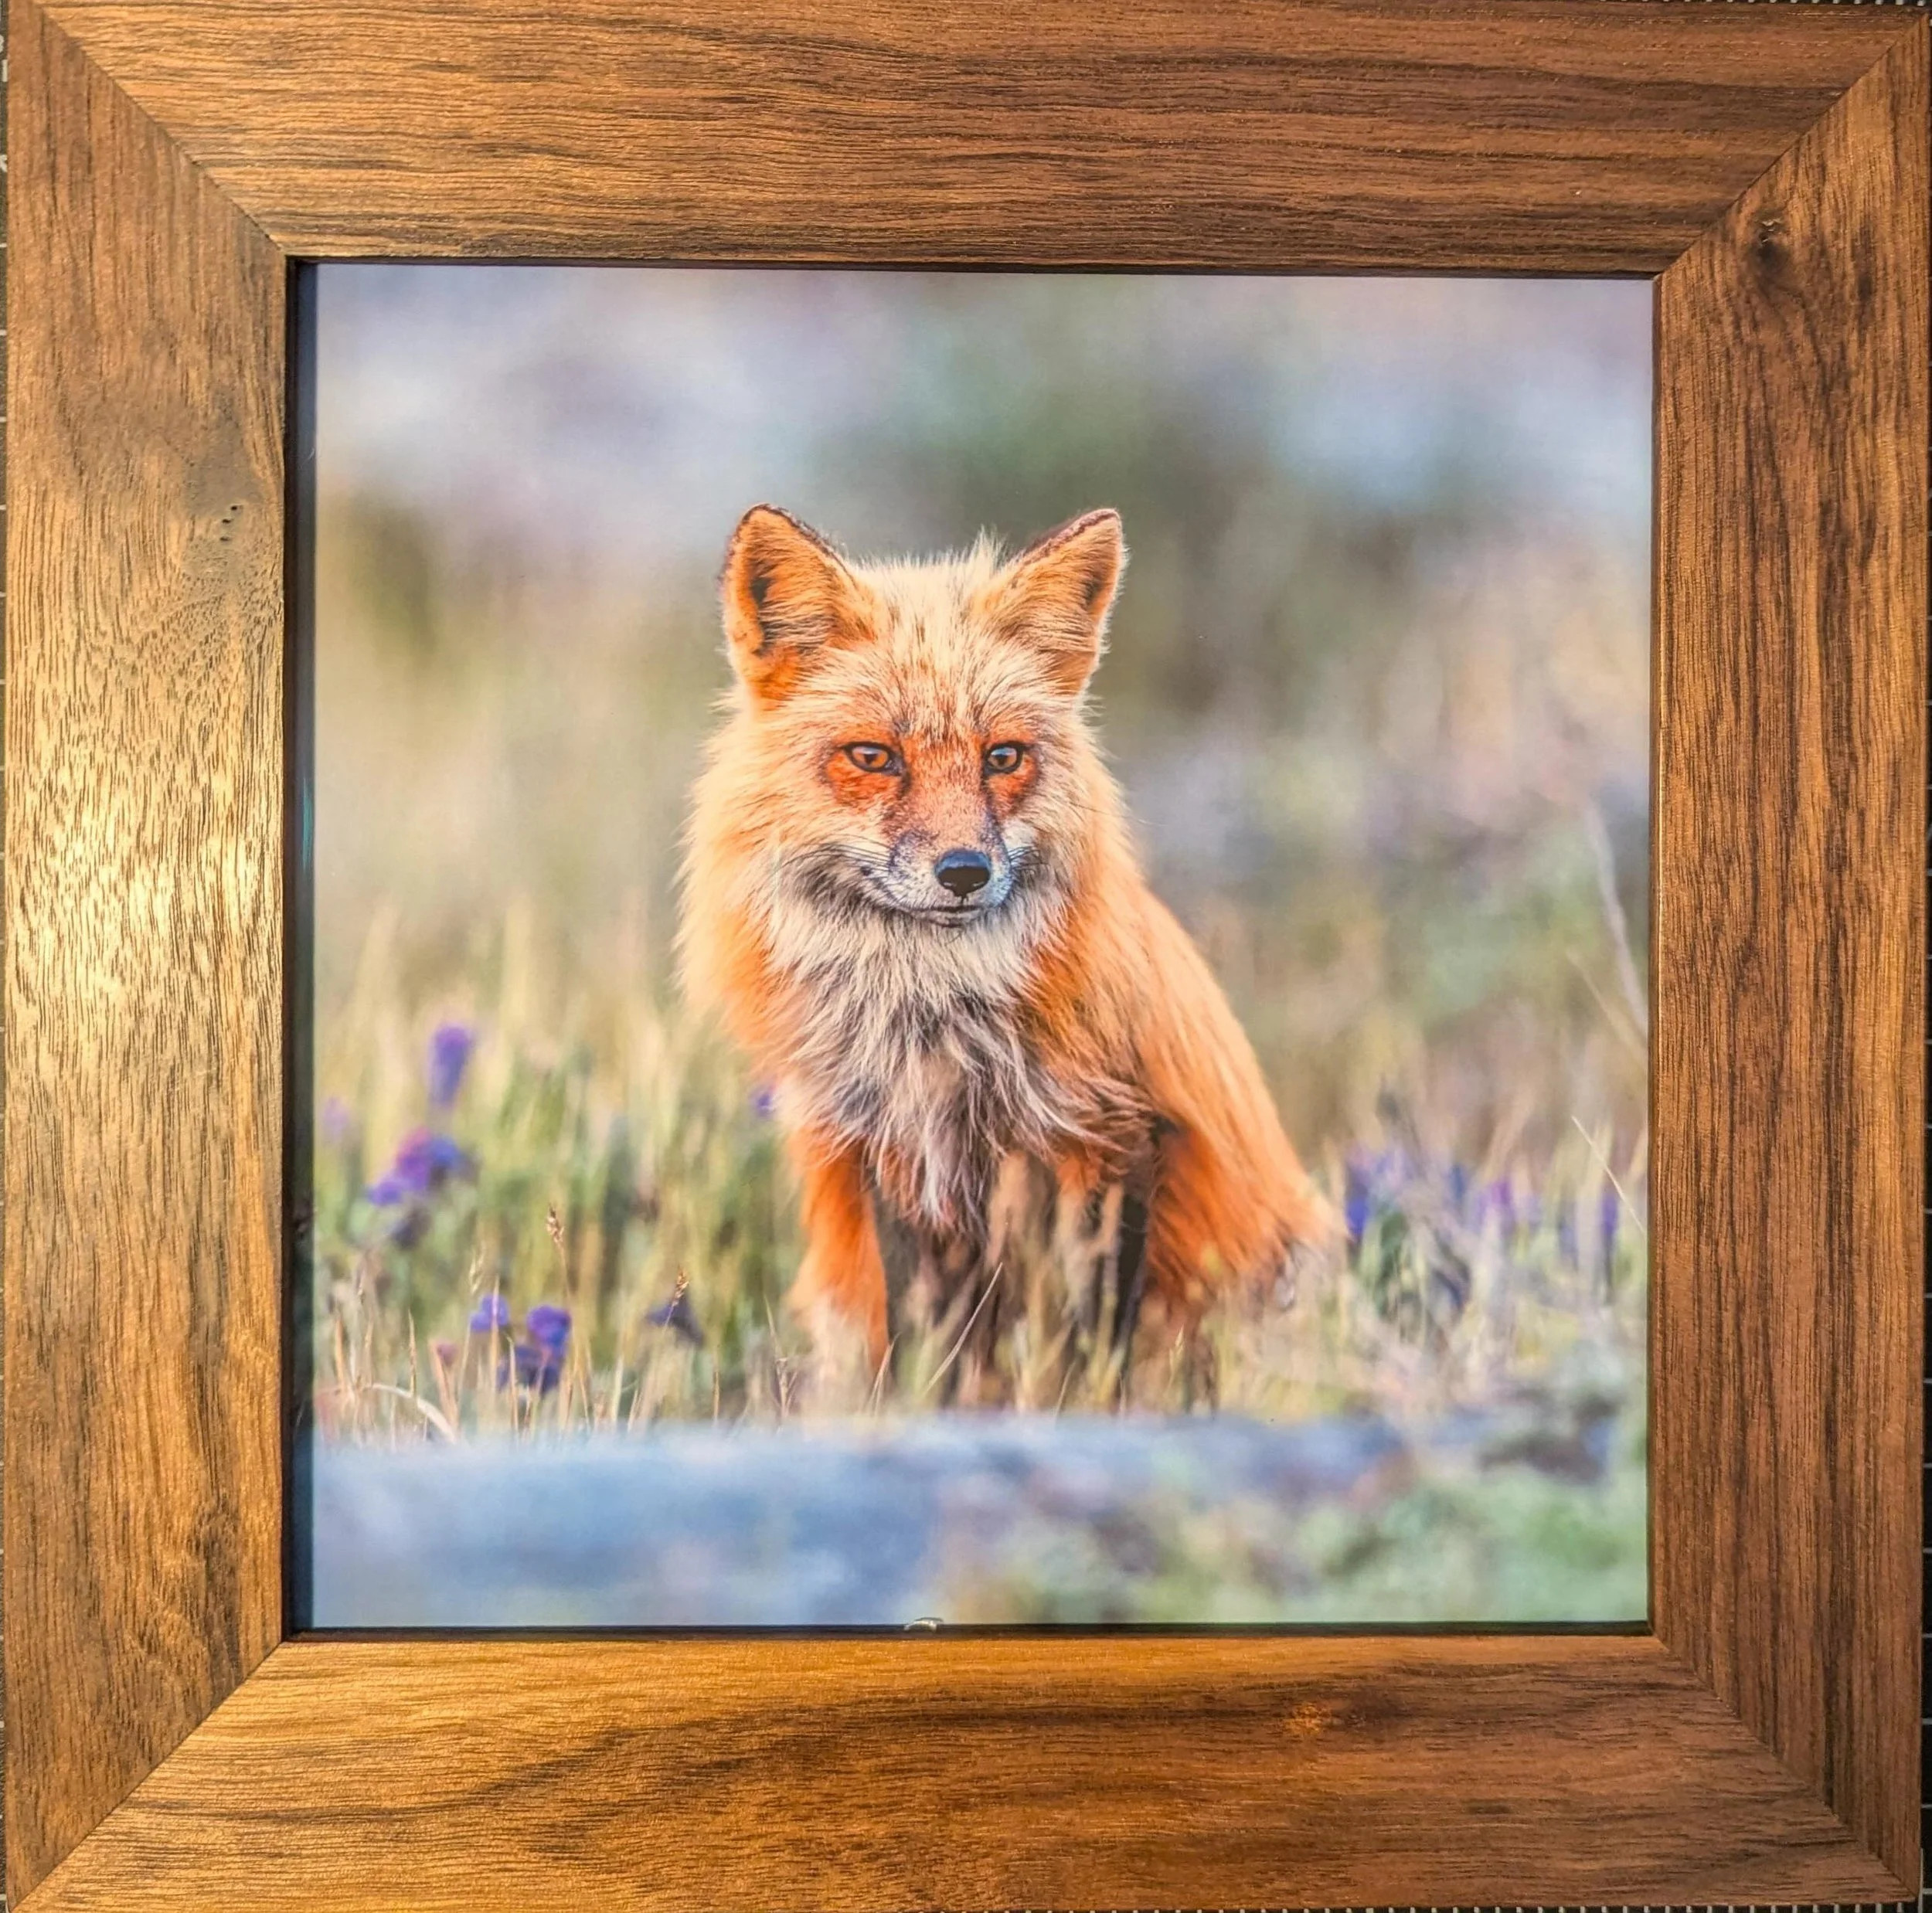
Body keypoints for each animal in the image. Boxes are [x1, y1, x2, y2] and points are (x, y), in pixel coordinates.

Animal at [679, 502, 1332, 1383]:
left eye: (1002, 757)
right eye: (873, 757)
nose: (964, 872)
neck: (933, 1026)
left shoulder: (1118, 1137)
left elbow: (1090, 1348)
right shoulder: (892, 1156)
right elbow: (929, 1344)